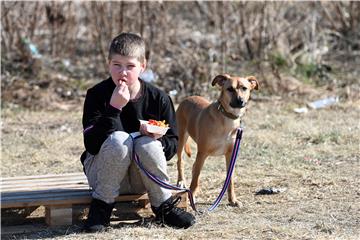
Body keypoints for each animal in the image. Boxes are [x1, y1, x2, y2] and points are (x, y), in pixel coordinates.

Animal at [175, 74, 258, 205]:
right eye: (230, 89)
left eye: (244, 88)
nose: (240, 101)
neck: (227, 119)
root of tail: (188, 98)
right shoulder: (202, 153)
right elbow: (195, 178)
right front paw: (191, 197)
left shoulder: (230, 154)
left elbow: (230, 180)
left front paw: (232, 200)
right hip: (181, 137)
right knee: (180, 161)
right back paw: (181, 181)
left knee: (193, 167)